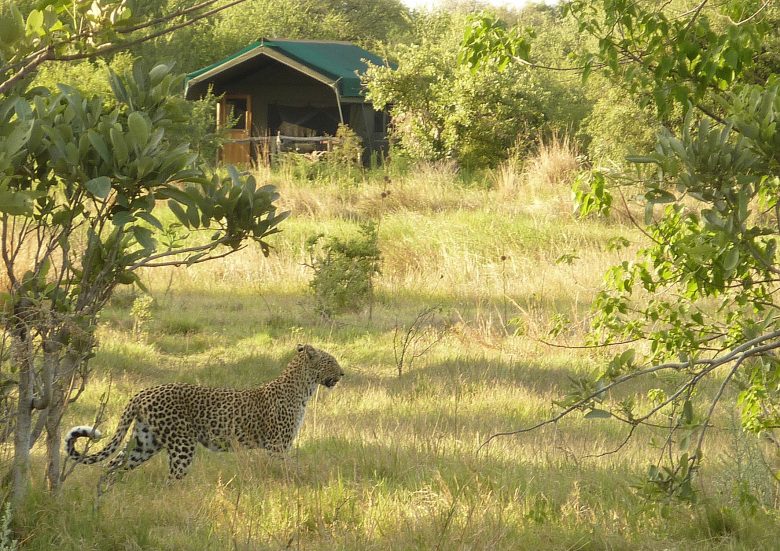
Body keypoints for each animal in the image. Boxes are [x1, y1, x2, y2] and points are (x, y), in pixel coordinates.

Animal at [65, 342, 346, 480]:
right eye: (331, 361)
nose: (343, 373)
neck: (304, 388)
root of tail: (143, 392)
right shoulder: (278, 446)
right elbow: (294, 469)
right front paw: (306, 482)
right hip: (181, 445)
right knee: (172, 479)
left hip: (145, 442)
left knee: (112, 465)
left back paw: (102, 500)